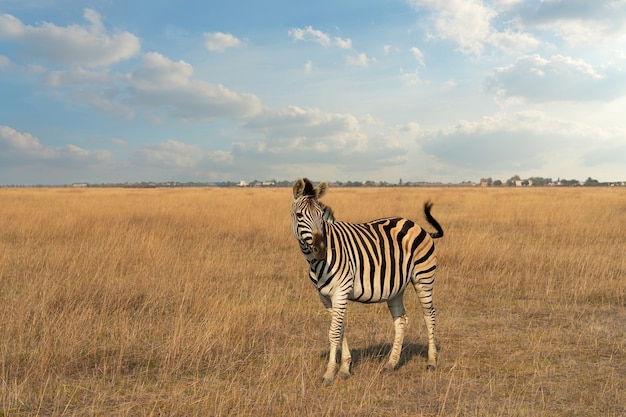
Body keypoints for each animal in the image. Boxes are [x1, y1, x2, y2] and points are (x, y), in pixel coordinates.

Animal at [290, 177, 442, 382]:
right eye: (299, 215)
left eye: (320, 216)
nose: (320, 249)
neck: (318, 261)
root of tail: (417, 225)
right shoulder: (325, 297)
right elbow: (340, 328)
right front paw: (345, 367)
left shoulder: (341, 291)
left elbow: (334, 332)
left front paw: (330, 373)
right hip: (396, 287)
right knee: (401, 320)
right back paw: (391, 363)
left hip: (424, 278)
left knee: (429, 315)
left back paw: (431, 361)